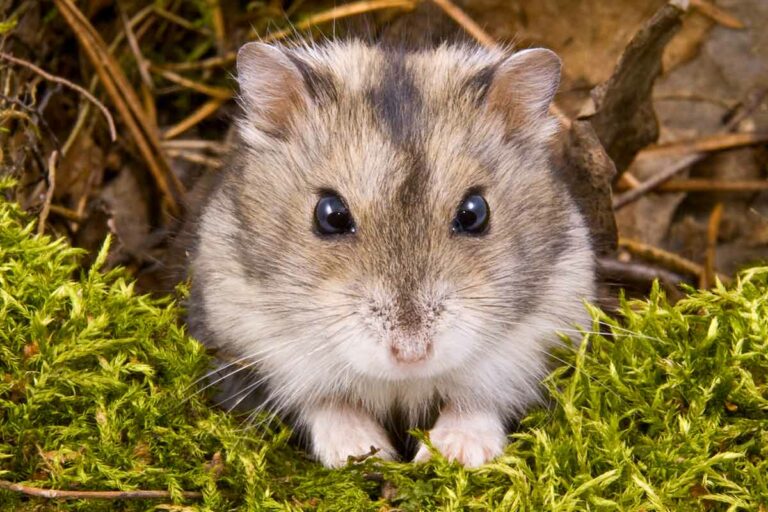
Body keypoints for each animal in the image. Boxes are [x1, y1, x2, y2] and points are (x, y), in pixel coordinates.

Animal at [186, 40, 595, 468]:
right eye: (330, 214)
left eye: (474, 213)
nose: (411, 354)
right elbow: (325, 403)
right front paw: (364, 453)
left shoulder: (537, 337)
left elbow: (477, 401)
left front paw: (454, 454)